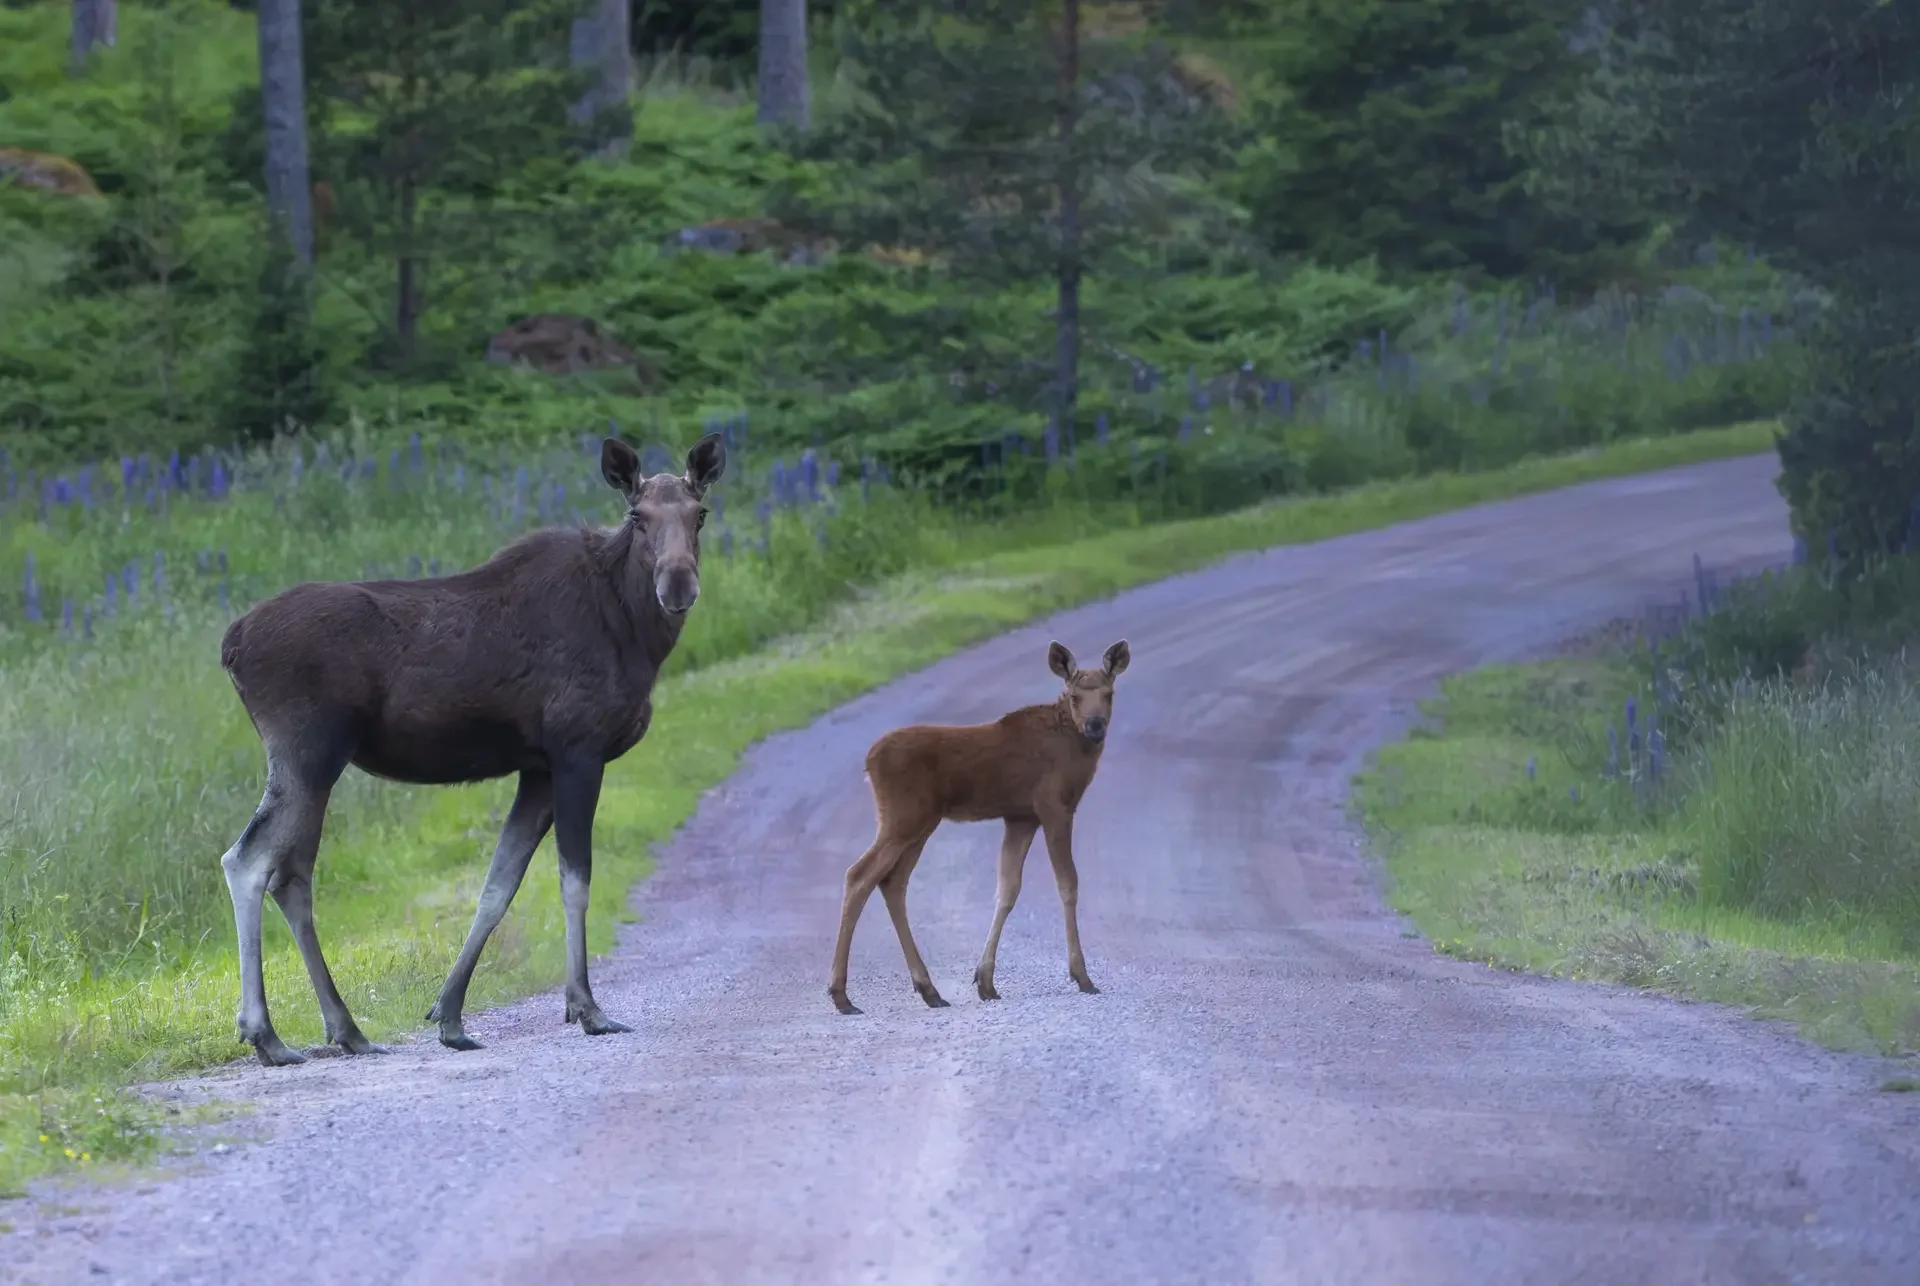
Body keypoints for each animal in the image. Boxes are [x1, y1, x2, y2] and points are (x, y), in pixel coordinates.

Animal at [214, 433, 725, 1066]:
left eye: (700, 513)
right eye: (638, 516)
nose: (677, 584)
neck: (637, 634)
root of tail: (231, 645)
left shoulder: (537, 766)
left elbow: (497, 886)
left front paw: (449, 1015)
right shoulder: (577, 749)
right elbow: (574, 882)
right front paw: (587, 1007)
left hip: (312, 765)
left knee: (292, 876)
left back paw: (345, 1028)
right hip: (308, 751)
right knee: (248, 860)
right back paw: (265, 1033)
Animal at [828, 637, 1131, 1015]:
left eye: (1109, 693)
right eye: (1075, 696)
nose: (1095, 725)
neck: (1075, 751)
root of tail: (869, 761)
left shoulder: (1020, 816)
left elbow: (1007, 888)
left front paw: (985, 980)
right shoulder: (1053, 807)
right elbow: (1068, 884)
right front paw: (1082, 976)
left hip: (920, 823)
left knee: (892, 882)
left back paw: (928, 989)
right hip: (903, 818)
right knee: (859, 875)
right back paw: (842, 994)